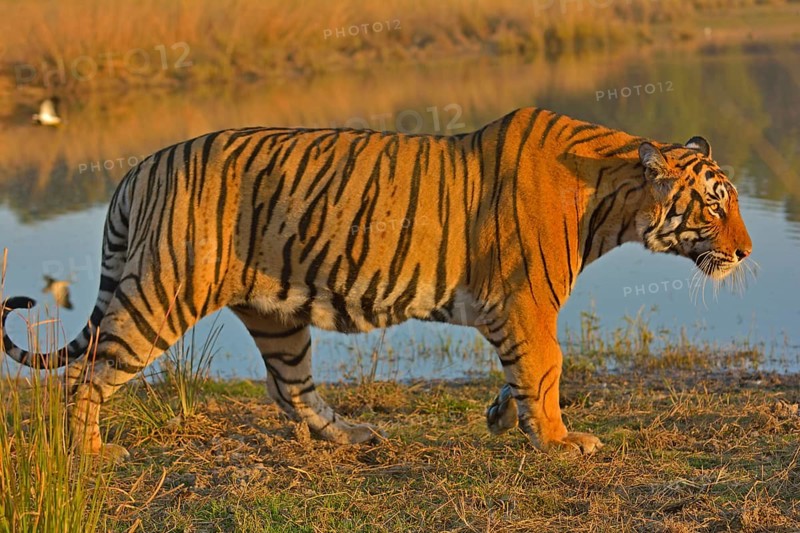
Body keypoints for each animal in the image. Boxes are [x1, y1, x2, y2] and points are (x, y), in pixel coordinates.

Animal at [1, 107, 752, 461]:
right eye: (716, 204)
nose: (745, 251)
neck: (615, 196)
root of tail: (140, 166)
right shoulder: (529, 300)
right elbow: (547, 367)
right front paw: (562, 441)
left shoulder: (514, 309)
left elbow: (523, 371)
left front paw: (504, 416)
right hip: (162, 292)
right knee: (86, 375)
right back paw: (90, 453)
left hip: (276, 314)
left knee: (290, 388)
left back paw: (354, 435)